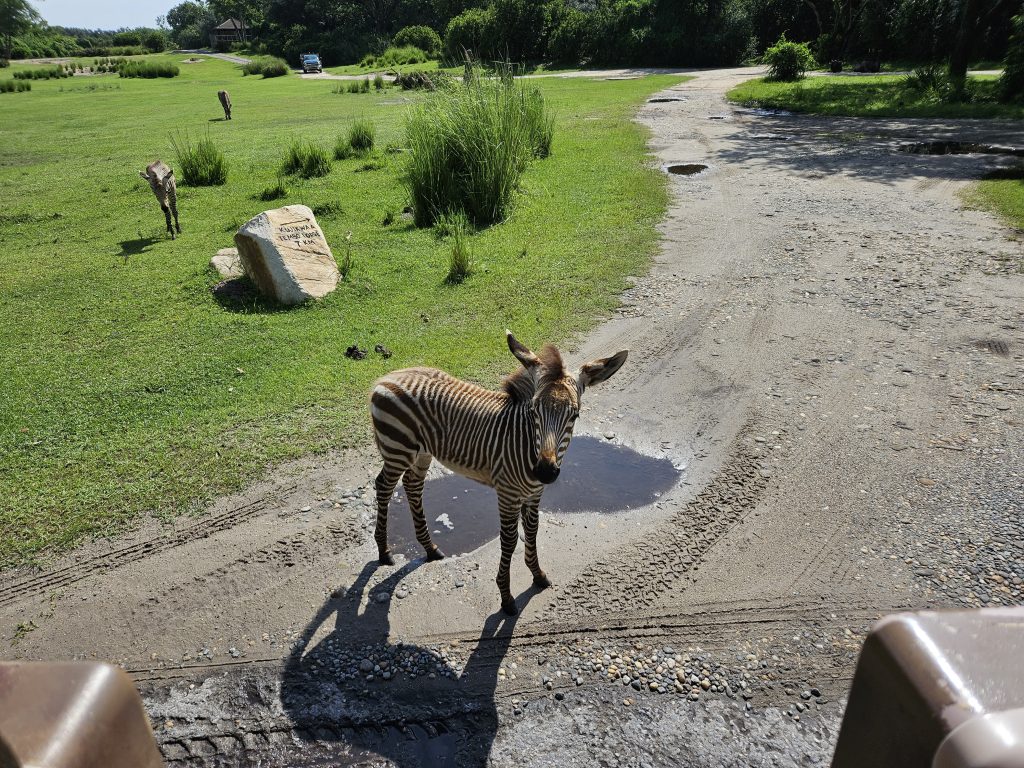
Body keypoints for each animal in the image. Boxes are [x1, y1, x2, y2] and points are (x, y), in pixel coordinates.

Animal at [368, 333, 622, 618]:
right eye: (534, 411)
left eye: (575, 415)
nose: (545, 472)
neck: (526, 443)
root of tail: (389, 376)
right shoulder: (508, 494)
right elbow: (509, 541)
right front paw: (506, 597)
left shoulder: (534, 493)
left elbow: (532, 532)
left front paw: (537, 575)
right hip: (397, 449)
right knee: (384, 486)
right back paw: (384, 552)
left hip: (421, 453)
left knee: (412, 486)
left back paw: (430, 549)